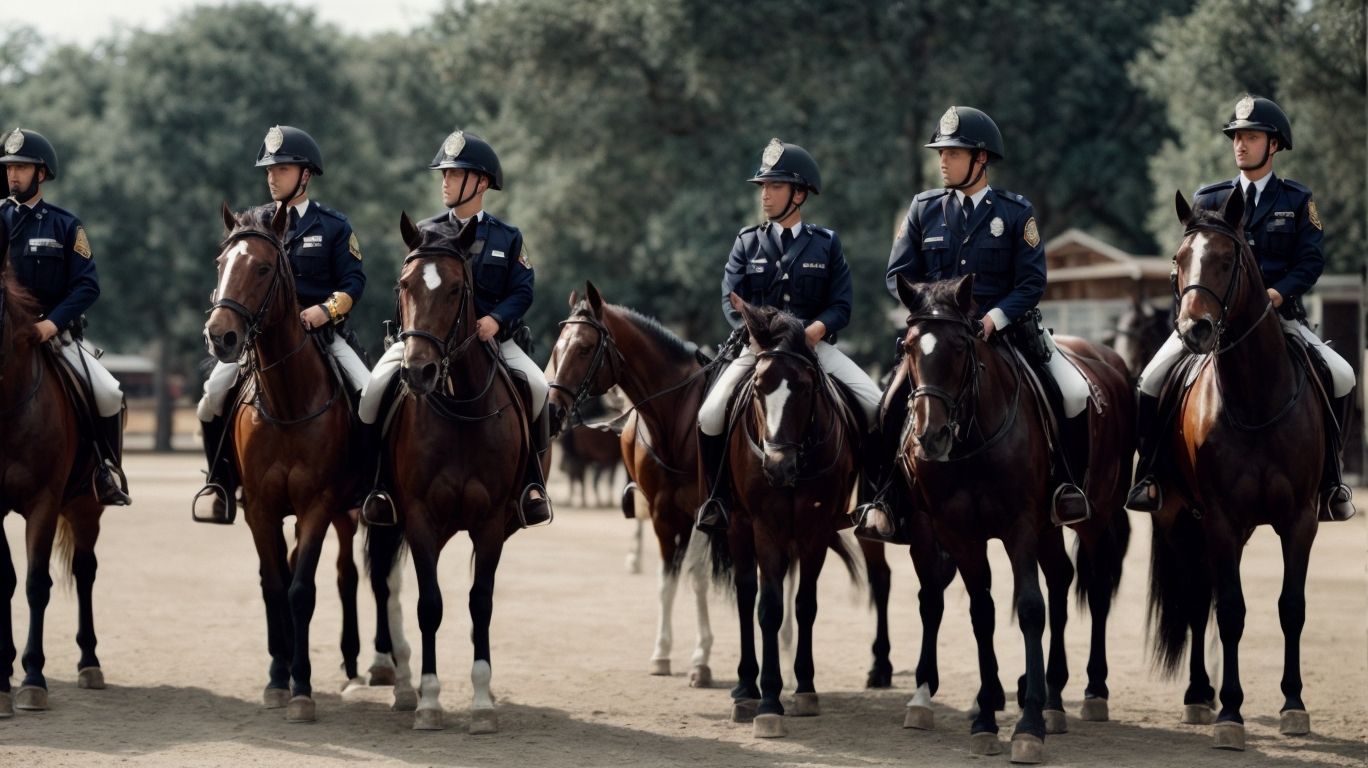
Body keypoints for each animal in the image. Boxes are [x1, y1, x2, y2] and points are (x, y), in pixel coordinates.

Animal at [204, 203, 404, 721]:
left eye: (262, 268)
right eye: (221, 263)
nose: (220, 337)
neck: (288, 402)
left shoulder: (316, 505)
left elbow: (302, 590)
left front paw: (303, 687)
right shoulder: (261, 509)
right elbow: (275, 585)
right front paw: (280, 677)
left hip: (352, 510)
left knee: (359, 577)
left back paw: (371, 662)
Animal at [366, 212, 533, 732]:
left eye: (459, 288)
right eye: (404, 284)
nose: (418, 372)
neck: (459, 408)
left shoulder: (491, 522)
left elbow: (481, 602)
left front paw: (481, 703)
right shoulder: (420, 519)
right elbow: (430, 605)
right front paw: (429, 701)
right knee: (385, 586)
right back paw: (402, 685)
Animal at [707, 295, 862, 739]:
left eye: (805, 388)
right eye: (759, 388)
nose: (777, 468)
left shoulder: (816, 530)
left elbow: (805, 604)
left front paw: (804, 688)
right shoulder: (765, 527)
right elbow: (769, 608)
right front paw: (768, 702)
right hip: (738, 527)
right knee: (746, 598)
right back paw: (746, 688)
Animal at [891, 274, 1134, 763]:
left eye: (961, 346)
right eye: (907, 346)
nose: (931, 436)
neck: (972, 440)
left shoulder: (1019, 527)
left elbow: (1028, 609)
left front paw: (1028, 726)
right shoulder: (958, 533)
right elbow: (981, 613)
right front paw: (986, 716)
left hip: (1096, 516)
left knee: (1095, 589)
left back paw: (1090, 692)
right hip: (1048, 529)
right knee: (1060, 579)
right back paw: (1054, 696)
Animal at [1146, 190, 1325, 751]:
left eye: (1229, 260)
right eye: (1178, 261)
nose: (1194, 330)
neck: (1254, 397)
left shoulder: (1299, 521)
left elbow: (1292, 608)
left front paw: (1294, 703)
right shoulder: (1221, 519)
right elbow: (1228, 611)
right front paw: (1230, 711)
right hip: (1181, 519)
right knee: (1196, 599)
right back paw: (1199, 694)